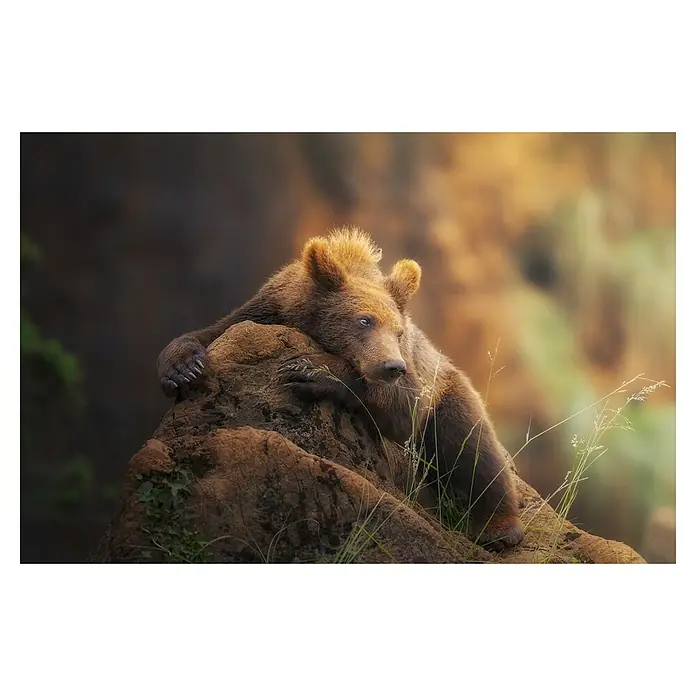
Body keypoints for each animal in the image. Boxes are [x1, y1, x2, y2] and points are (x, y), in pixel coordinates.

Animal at [156, 226, 524, 550]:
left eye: (398, 331)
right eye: (364, 320)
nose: (392, 367)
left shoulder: (413, 377)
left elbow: (403, 410)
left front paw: (310, 371)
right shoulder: (265, 310)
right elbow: (212, 332)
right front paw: (183, 368)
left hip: (447, 388)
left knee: (472, 448)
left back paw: (500, 529)